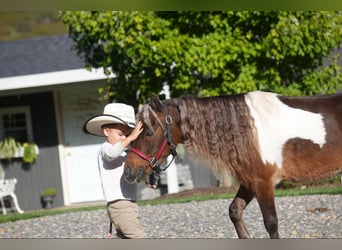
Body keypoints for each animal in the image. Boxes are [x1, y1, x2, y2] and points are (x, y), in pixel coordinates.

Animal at [123, 90, 342, 238]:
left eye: (149, 132)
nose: (129, 170)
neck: (247, 128)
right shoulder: (250, 182)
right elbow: (235, 211)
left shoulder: (263, 183)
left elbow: (271, 223)